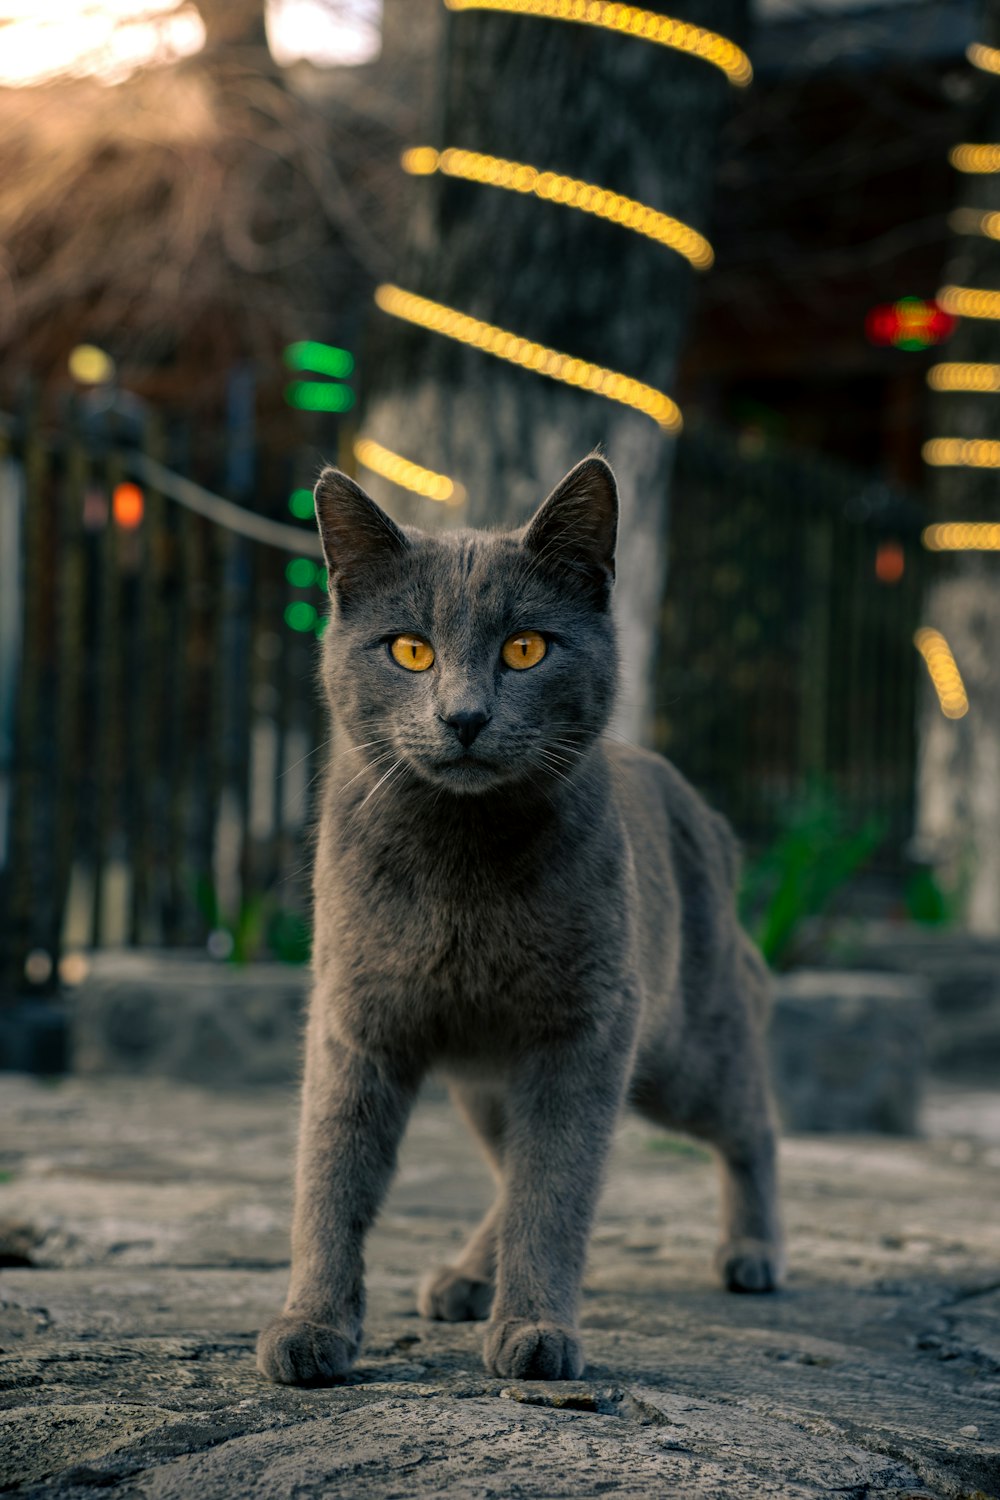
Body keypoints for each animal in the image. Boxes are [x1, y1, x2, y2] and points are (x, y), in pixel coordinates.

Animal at [256, 453, 779, 1380]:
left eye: (526, 648)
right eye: (410, 650)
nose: (463, 716)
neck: (463, 866)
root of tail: (698, 808)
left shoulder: (586, 1029)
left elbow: (557, 1186)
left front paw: (536, 1328)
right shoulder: (355, 1019)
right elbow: (331, 1174)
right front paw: (312, 1325)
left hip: (686, 1048)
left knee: (751, 1113)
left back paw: (752, 1251)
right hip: (488, 1083)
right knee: (509, 1170)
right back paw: (468, 1276)